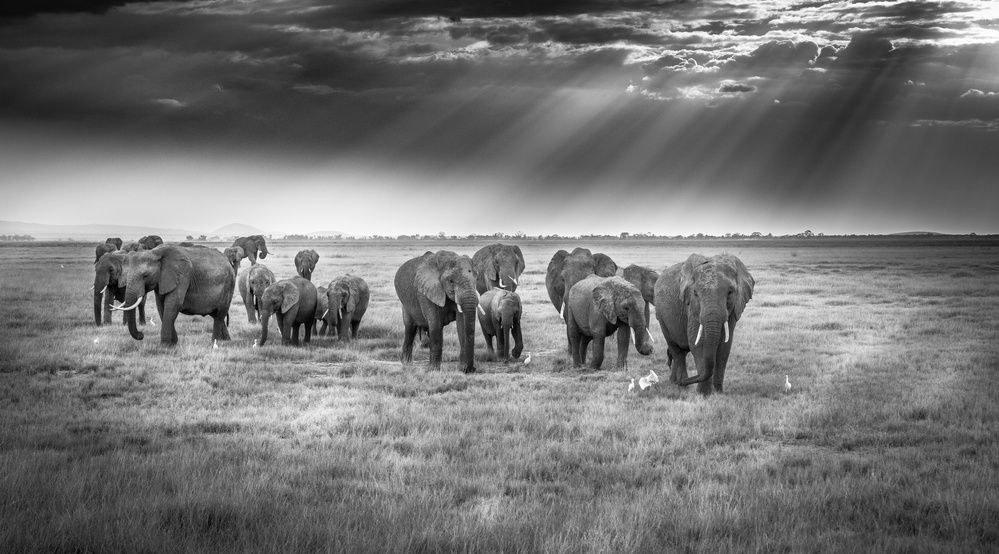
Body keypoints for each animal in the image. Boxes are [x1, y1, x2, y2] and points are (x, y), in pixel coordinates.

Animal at [652, 252, 752, 394]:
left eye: (730, 292)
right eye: (695, 293)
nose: (689, 380)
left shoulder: (733, 309)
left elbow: (725, 346)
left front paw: (718, 393)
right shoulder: (691, 308)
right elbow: (698, 344)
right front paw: (703, 394)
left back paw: (677, 383)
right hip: (661, 316)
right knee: (676, 350)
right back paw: (681, 386)